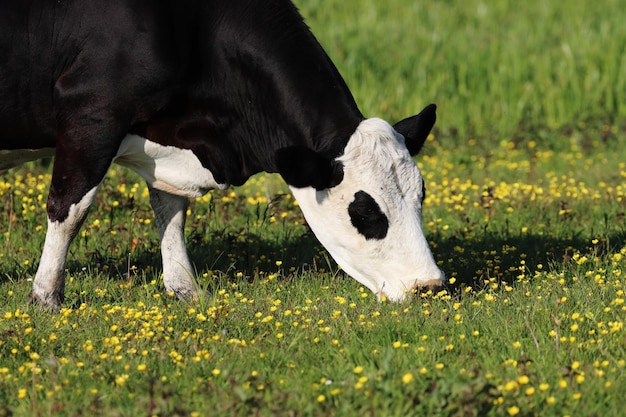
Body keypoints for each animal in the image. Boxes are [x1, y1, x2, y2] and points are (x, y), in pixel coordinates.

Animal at [2, 0, 446, 308]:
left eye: (421, 196)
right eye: (366, 212)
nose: (428, 286)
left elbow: (171, 211)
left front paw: (185, 290)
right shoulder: (93, 111)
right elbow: (69, 207)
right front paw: (45, 298)